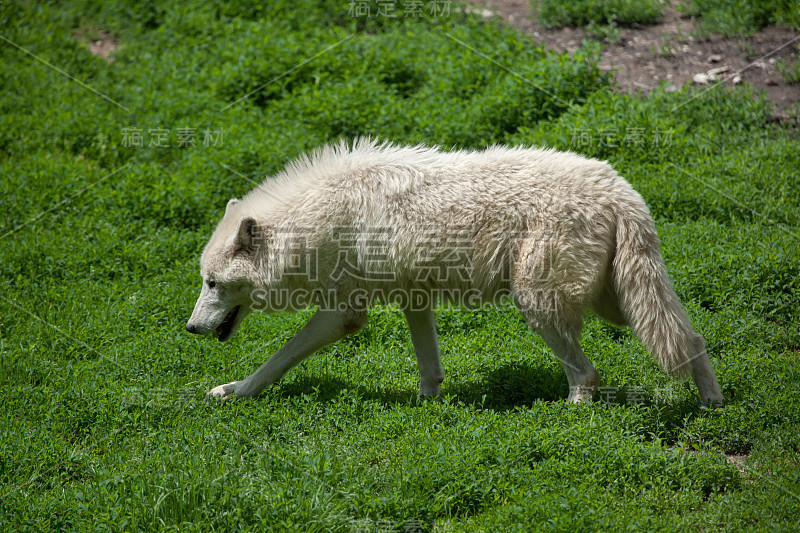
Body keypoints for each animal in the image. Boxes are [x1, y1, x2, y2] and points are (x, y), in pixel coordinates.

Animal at [188, 137, 724, 404]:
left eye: (213, 283)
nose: (190, 328)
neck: (311, 220)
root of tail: (622, 191)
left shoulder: (343, 315)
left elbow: (276, 360)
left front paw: (235, 392)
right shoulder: (414, 298)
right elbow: (429, 366)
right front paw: (427, 406)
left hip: (541, 305)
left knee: (589, 374)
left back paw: (570, 416)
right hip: (619, 302)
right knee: (691, 340)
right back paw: (712, 406)